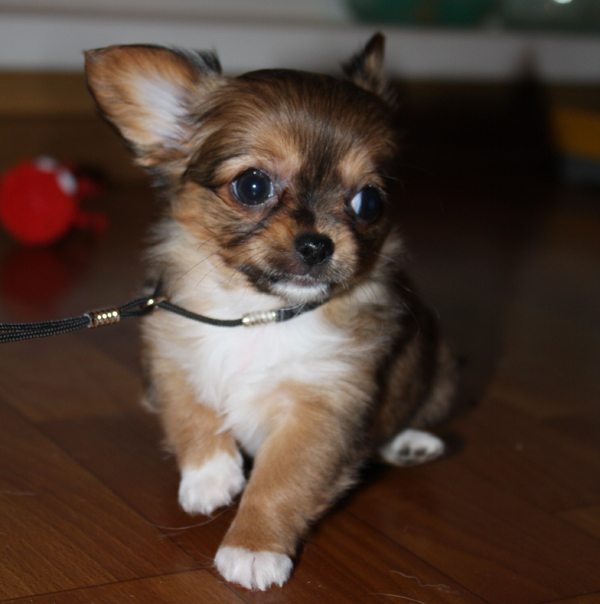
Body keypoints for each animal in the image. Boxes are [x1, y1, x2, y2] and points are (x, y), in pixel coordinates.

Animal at [84, 34, 457, 591]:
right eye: (253, 186)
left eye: (369, 203)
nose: (318, 244)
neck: (256, 314)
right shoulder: (171, 353)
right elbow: (188, 411)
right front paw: (209, 475)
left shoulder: (320, 409)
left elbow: (281, 483)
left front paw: (253, 547)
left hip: (440, 369)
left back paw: (411, 443)